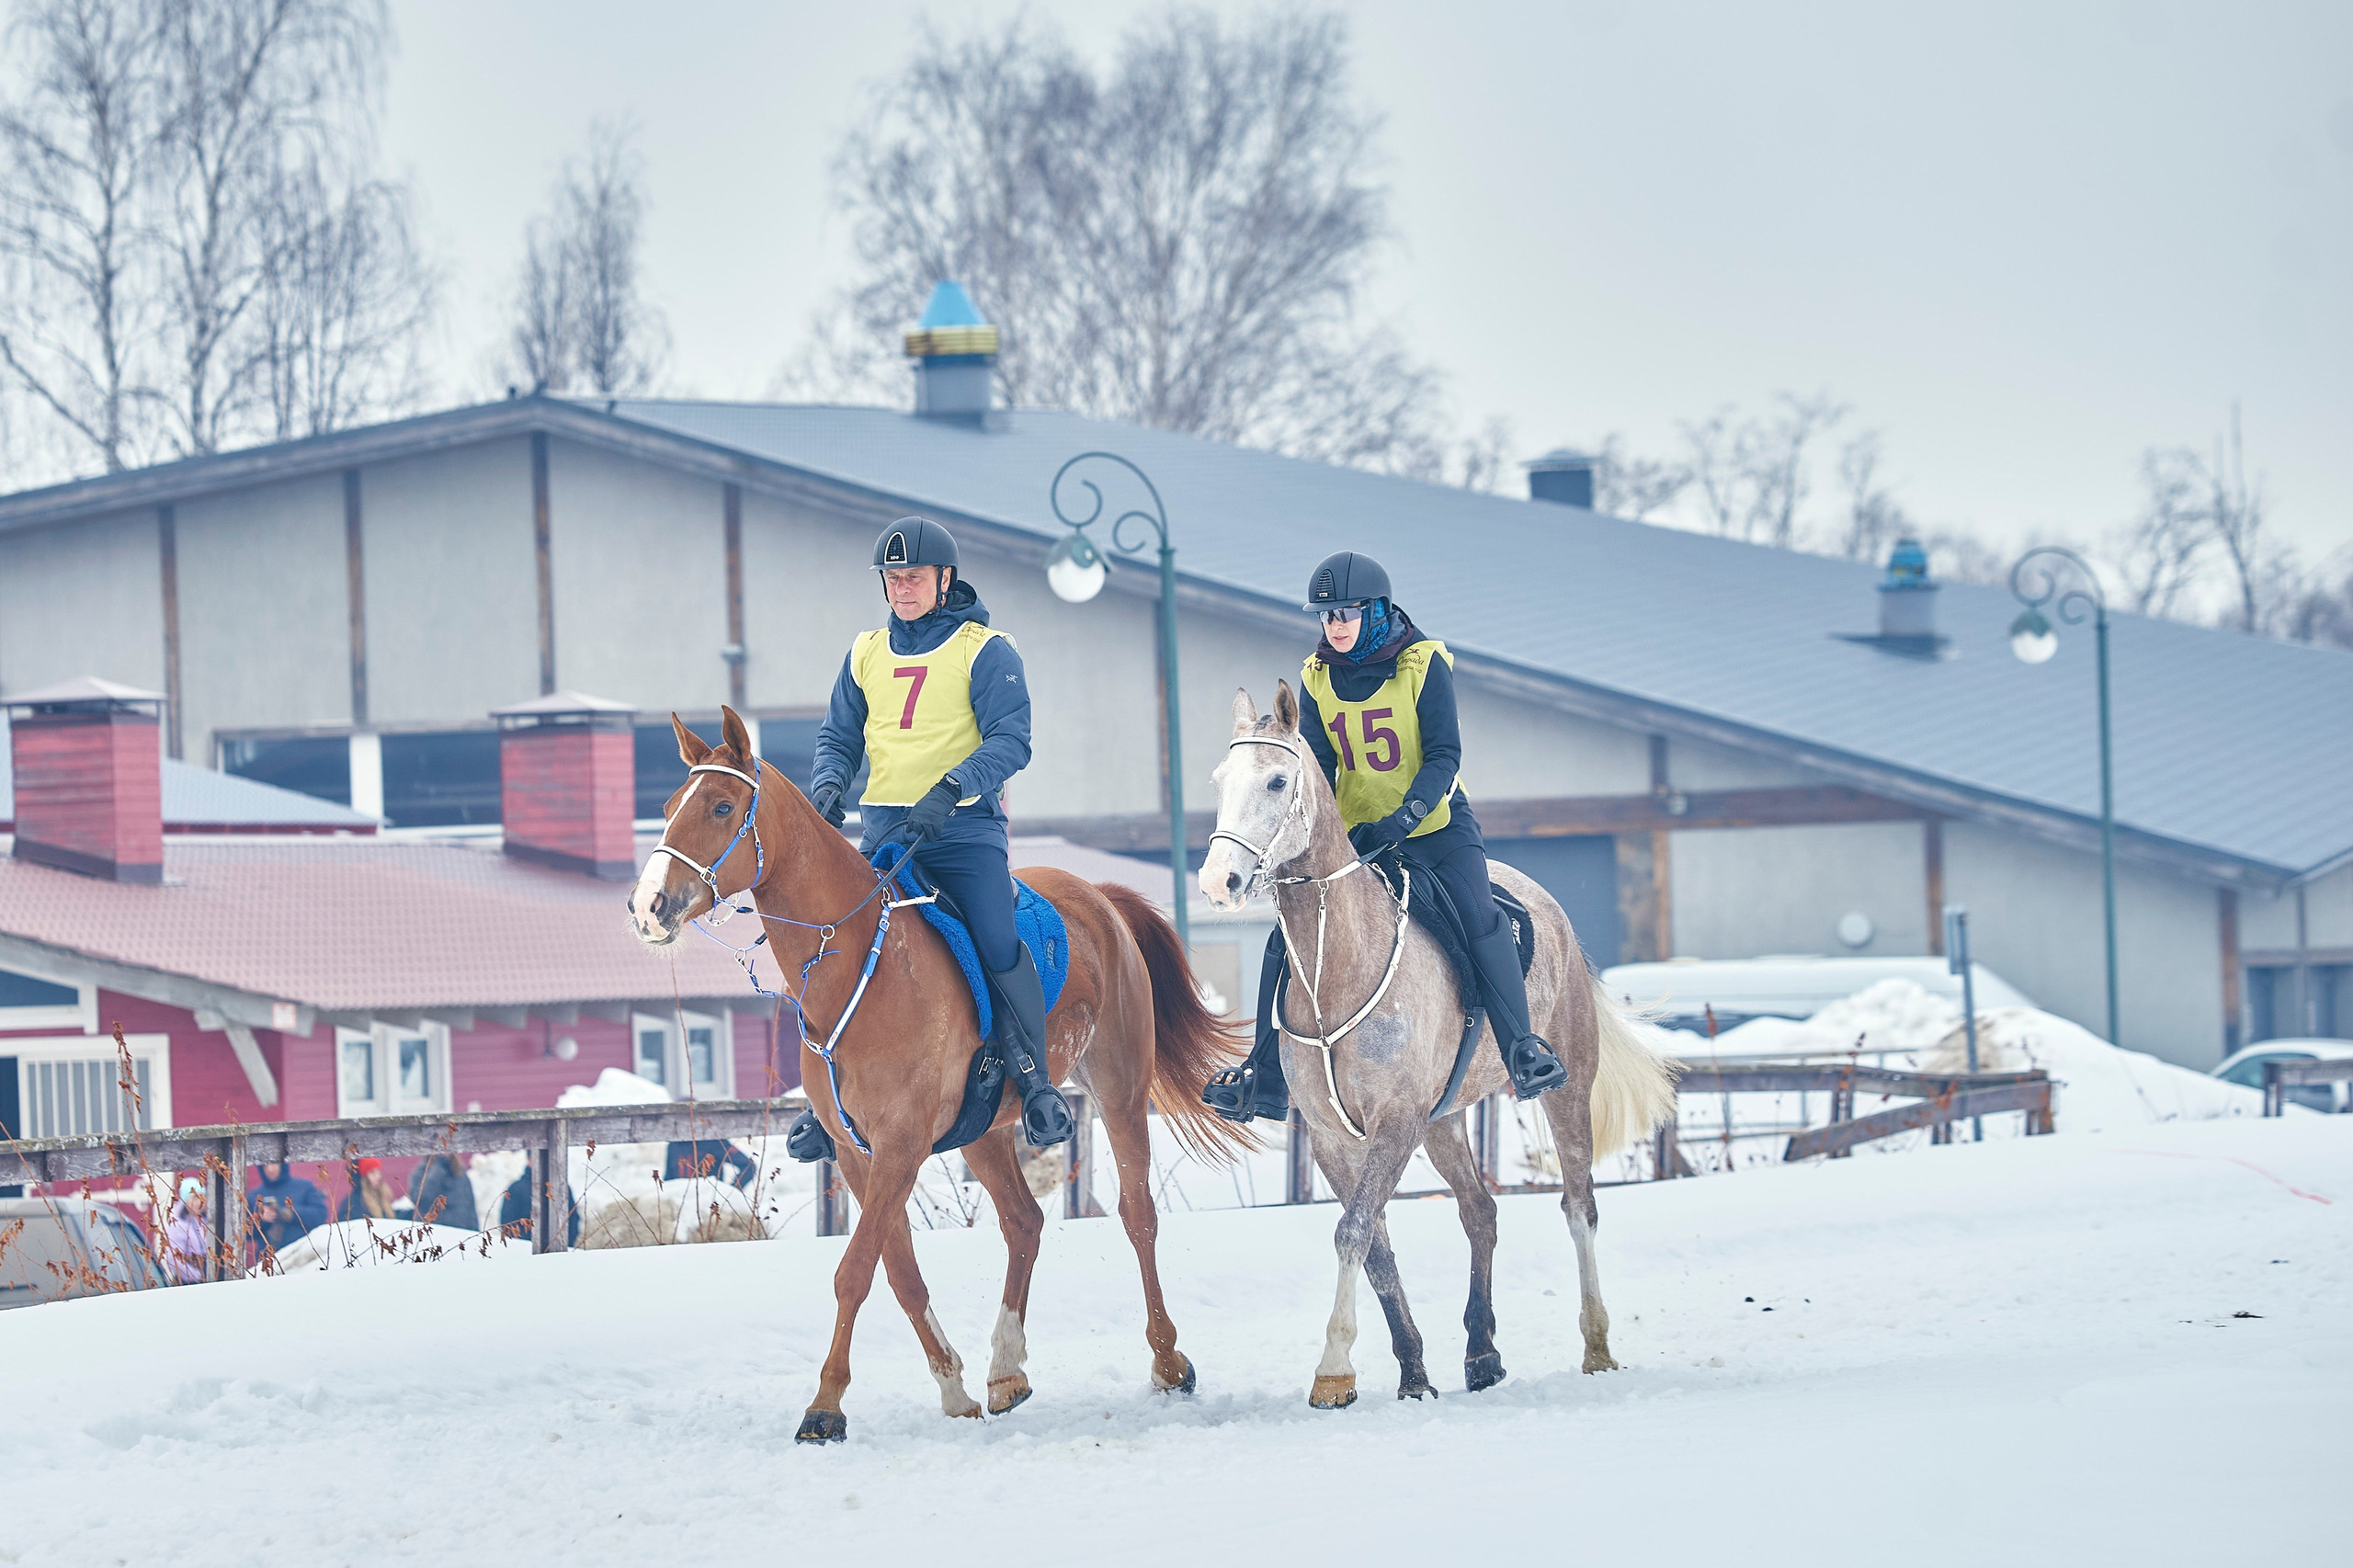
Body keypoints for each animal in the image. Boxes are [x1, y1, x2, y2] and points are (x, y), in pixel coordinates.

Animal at [627, 707, 1251, 1442]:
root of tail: (1097, 894)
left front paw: (825, 1405)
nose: (649, 907)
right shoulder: (859, 1153)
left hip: (1121, 1092)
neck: (859, 968)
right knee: (1023, 1223)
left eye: (722, 807)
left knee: (1137, 1215)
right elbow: (897, 1270)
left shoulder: (901, 1145)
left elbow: (855, 1271)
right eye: (669, 806)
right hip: (984, 1131)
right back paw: (1006, 1371)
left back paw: (1167, 1360)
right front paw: (954, 1390)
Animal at [1198, 683, 1678, 1407]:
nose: (1216, 882)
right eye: (1220, 780)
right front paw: (1413, 1373)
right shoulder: (1337, 1139)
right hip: (1444, 1119)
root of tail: (1551, 908)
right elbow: (1374, 1246)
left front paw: (1333, 1370)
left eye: (1277, 780)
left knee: (1579, 1208)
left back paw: (1596, 1347)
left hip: (1564, 1091)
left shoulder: (1395, 1122)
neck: (1340, 964)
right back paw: (1481, 1354)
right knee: (1480, 1212)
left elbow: (1353, 1231)